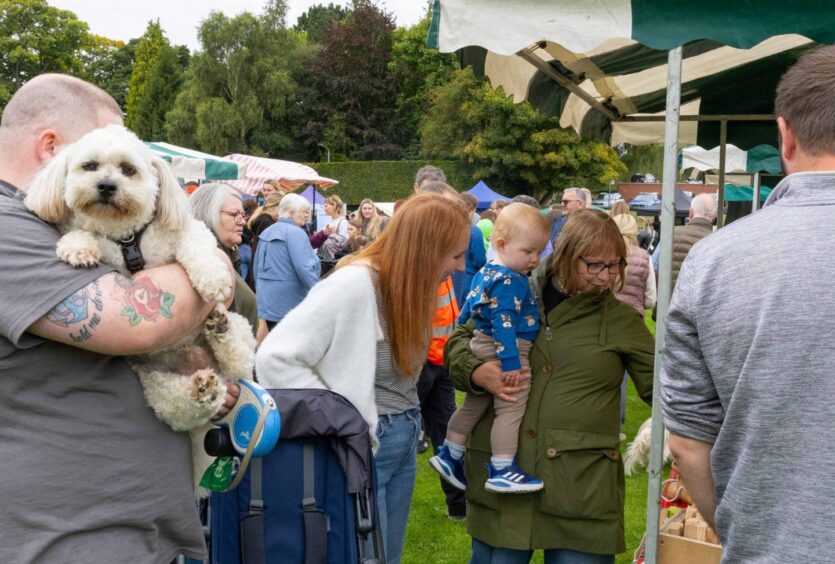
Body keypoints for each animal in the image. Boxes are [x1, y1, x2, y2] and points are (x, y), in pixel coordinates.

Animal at [26, 124, 255, 490]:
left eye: (128, 169)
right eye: (90, 166)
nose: (106, 186)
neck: (126, 238)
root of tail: (201, 363)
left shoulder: (185, 231)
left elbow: (197, 246)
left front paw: (213, 278)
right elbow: (81, 233)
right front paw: (78, 248)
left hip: (240, 336)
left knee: (239, 358)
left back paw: (220, 331)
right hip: (156, 386)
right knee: (184, 406)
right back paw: (202, 389)